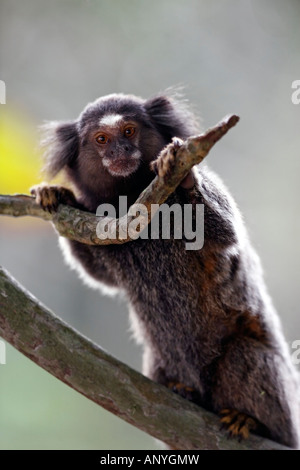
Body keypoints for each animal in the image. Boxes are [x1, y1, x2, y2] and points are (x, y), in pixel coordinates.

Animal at [31, 91, 300, 448]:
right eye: (101, 139)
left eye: (129, 131)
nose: (119, 151)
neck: (132, 196)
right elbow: (99, 273)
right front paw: (58, 194)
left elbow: (224, 232)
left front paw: (180, 175)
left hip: (285, 410)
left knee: (245, 354)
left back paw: (250, 420)